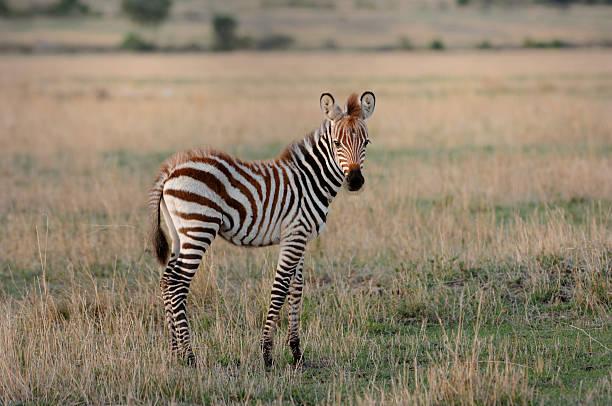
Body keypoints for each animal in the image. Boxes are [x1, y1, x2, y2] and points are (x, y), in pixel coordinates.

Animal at [150, 91, 376, 368]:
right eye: (336, 144)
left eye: (366, 142)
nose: (355, 181)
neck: (309, 180)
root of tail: (171, 170)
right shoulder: (295, 235)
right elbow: (280, 288)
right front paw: (267, 355)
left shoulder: (299, 236)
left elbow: (296, 289)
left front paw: (296, 353)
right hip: (198, 228)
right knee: (178, 283)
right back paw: (190, 356)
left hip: (179, 233)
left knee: (166, 280)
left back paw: (174, 353)